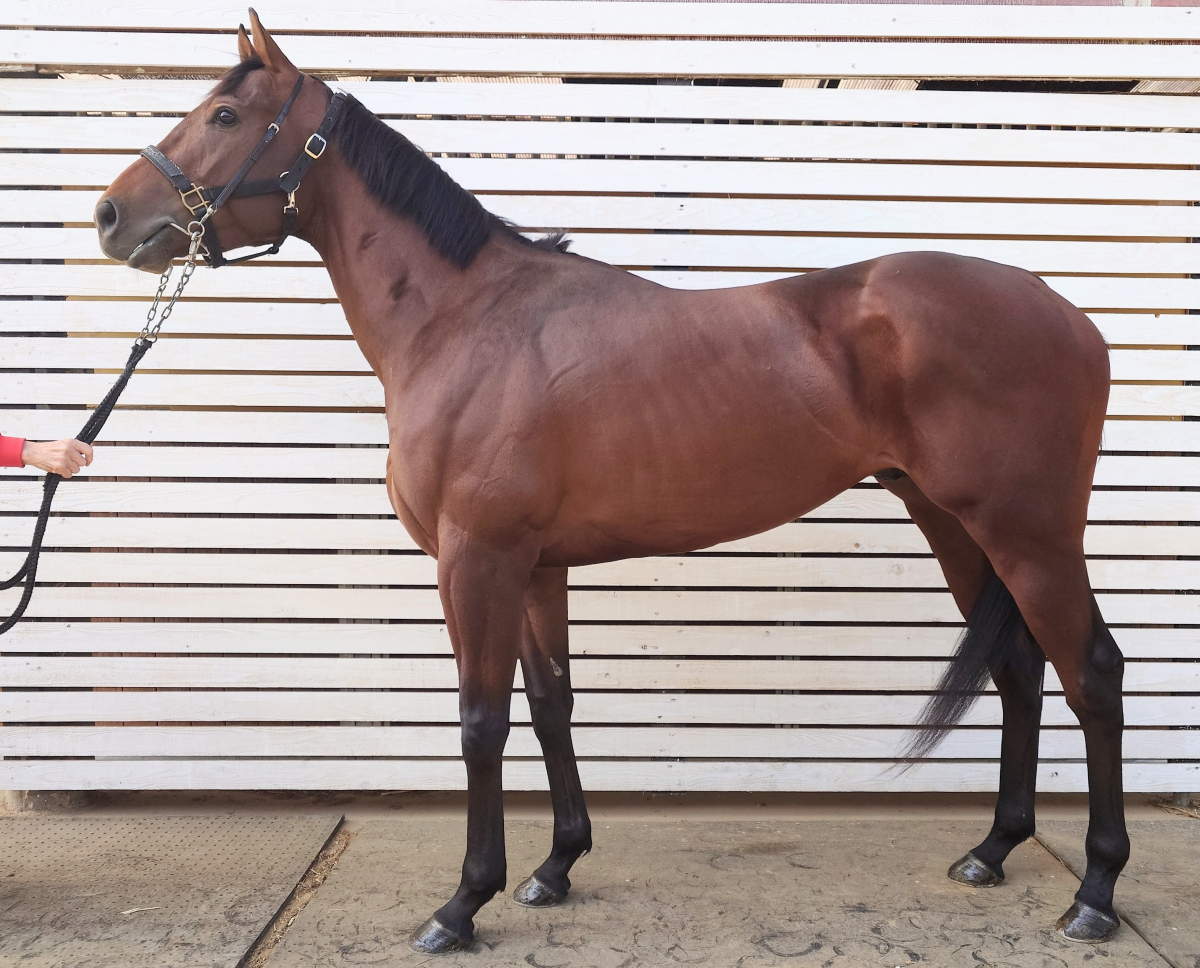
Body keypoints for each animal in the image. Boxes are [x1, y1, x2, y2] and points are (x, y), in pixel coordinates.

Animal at [94, 12, 1129, 952]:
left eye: (226, 113)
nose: (110, 217)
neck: (466, 322)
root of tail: (1064, 309)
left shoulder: (475, 562)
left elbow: (480, 722)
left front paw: (462, 904)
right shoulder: (537, 566)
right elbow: (551, 704)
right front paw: (554, 868)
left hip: (1029, 534)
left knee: (1092, 672)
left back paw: (1094, 894)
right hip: (953, 523)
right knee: (1020, 668)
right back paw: (992, 851)